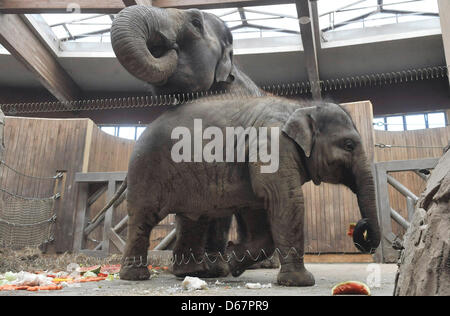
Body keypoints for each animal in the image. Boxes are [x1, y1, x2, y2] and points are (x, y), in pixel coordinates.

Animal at [118, 95, 380, 286]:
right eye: (349, 145)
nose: (361, 226)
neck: (301, 106)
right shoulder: (272, 147)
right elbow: (287, 200)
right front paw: (300, 283)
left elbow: (260, 214)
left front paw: (232, 262)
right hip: (146, 170)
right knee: (143, 217)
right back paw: (136, 277)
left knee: (192, 221)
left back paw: (194, 272)